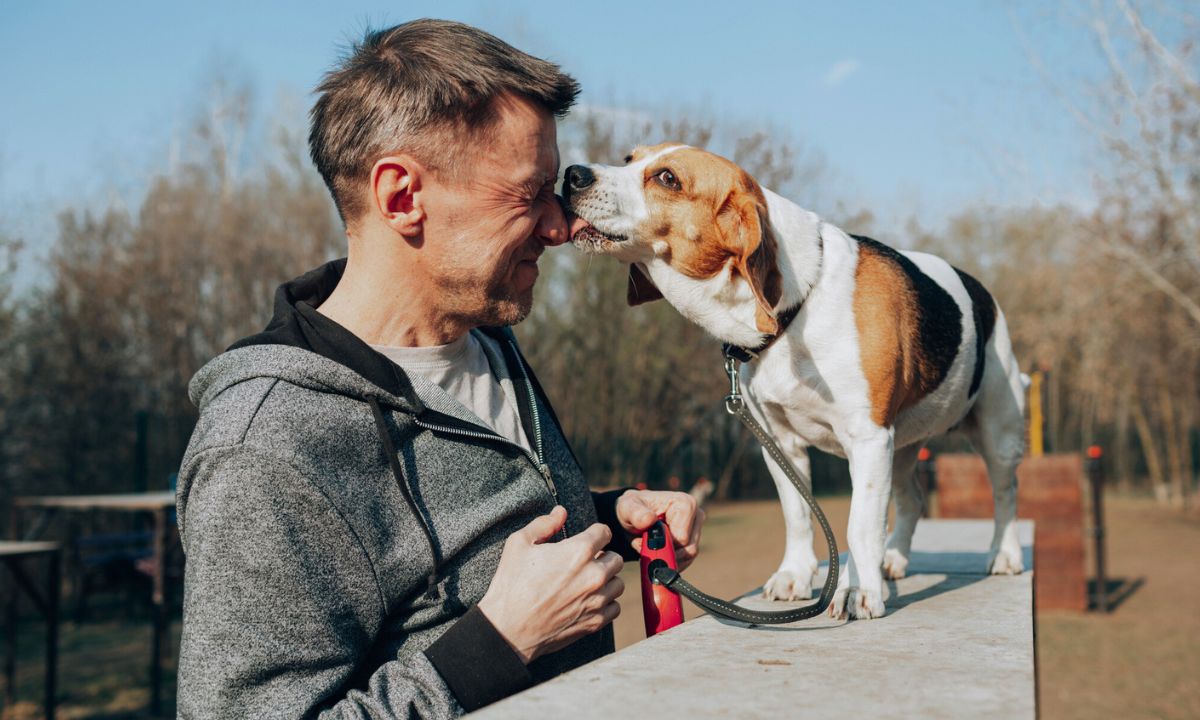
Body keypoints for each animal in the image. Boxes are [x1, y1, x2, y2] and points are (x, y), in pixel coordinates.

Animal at [561, 144, 1022, 619]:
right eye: (629, 158)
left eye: (668, 178)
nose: (572, 175)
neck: (797, 307)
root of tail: (982, 291)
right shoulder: (779, 441)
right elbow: (797, 515)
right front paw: (796, 576)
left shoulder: (868, 438)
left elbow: (860, 526)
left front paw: (859, 590)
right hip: (906, 444)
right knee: (911, 499)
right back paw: (893, 558)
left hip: (996, 431)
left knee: (1005, 494)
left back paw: (1002, 555)